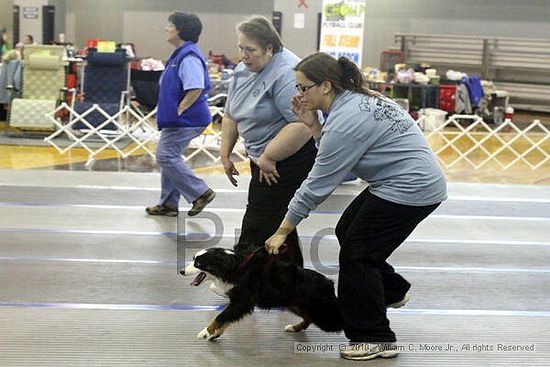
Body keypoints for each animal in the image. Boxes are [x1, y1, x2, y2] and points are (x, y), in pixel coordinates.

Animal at [183, 247, 342, 342]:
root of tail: (329, 283)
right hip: (296, 305)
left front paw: (206, 331)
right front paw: (215, 333)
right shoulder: (238, 303)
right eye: (194, 259)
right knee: (308, 319)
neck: (234, 268)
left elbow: (221, 316)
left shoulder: (242, 301)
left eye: (198, 263)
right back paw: (294, 327)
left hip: (322, 314)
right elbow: (227, 318)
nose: (181, 271)